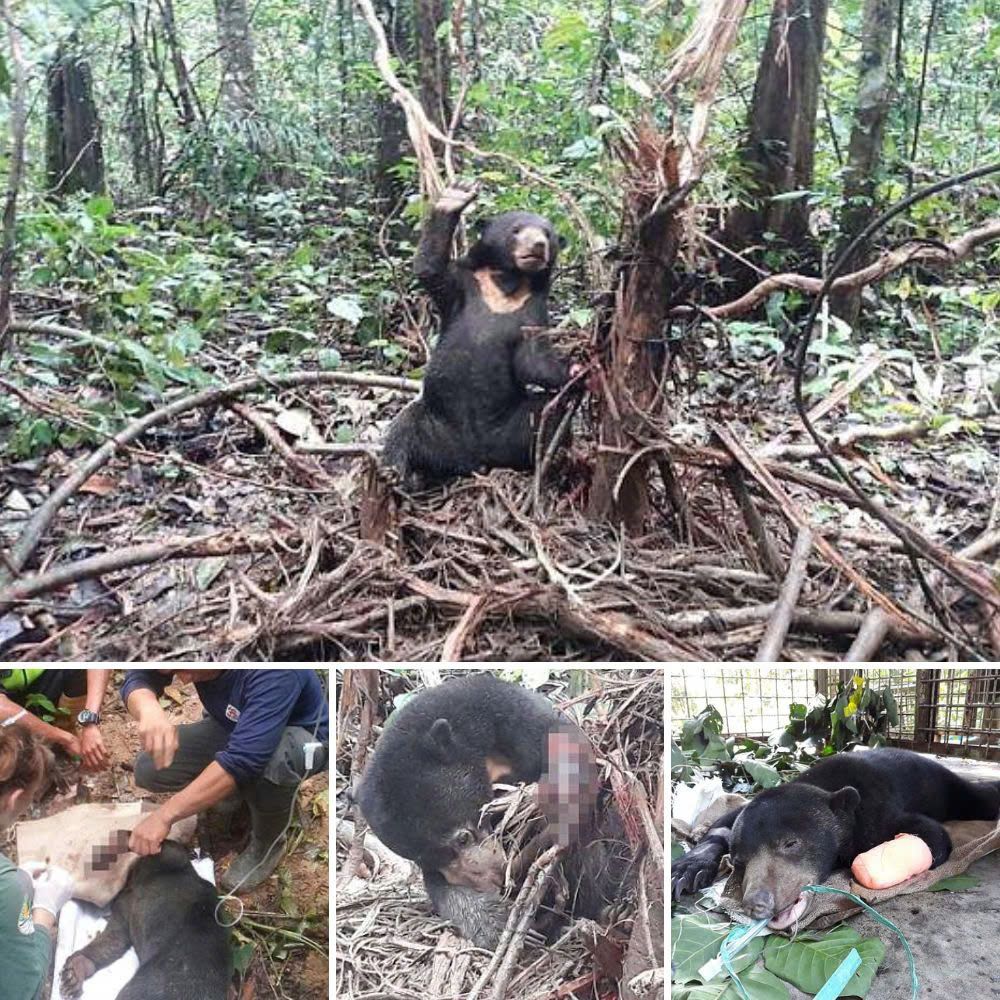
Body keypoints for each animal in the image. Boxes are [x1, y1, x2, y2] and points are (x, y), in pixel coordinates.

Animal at [378, 186, 576, 490]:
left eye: (548, 234)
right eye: (516, 230)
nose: (538, 246)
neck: (507, 283)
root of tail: (473, 460)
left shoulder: (534, 309)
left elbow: (534, 361)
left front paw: (578, 368)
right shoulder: (462, 285)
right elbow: (429, 269)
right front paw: (454, 197)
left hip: (509, 430)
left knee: (548, 412)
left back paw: (551, 463)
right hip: (436, 423)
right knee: (405, 425)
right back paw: (398, 474)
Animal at [672, 748, 1000, 924]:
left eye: (791, 843)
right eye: (739, 861)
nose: (757, 903)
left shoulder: (878, 812)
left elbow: (932, 838)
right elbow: (723, 824)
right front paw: (686, 870)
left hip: (945, 785)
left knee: (977, 798)